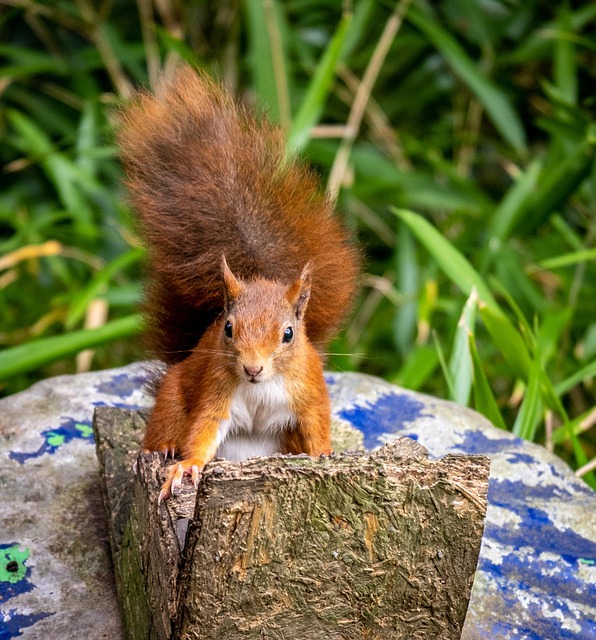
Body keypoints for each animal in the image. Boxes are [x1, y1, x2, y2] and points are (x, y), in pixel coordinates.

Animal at [117, 65, 360, 500]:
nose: (252, 369)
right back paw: (163, 448)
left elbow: (317, 426)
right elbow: (202, 431)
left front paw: (325, 455)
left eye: (288, 334)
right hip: (173, 396)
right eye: (228, 329)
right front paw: (186, 467)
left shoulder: (310, 391)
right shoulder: (216, 391)